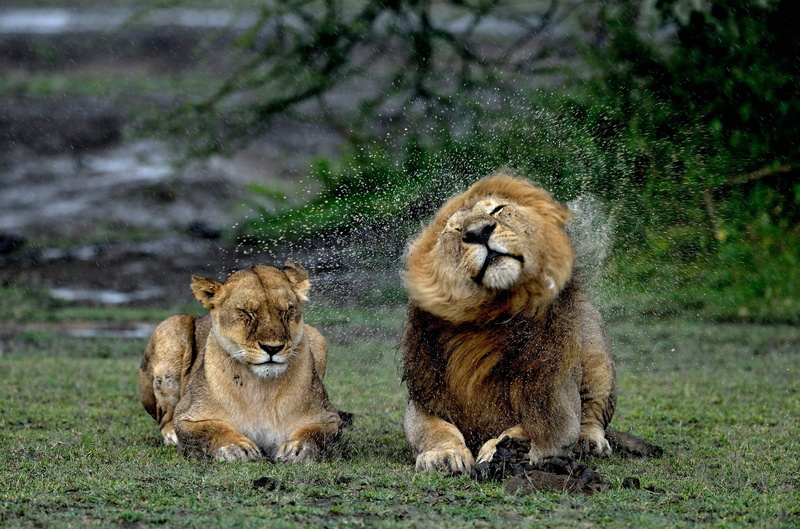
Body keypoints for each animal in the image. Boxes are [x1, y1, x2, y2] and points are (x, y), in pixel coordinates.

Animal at [138, 260, 342, 463]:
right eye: (247, 312)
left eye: (287, 311)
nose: (272, 348)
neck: (262, 390)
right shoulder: (186, 416)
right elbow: (212, 428)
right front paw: (236, 447)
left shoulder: (329, 417)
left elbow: (316, 433)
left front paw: (297, 448)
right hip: (170, 328)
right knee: (165, 418)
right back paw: (172, 436)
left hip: (317, 336)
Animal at [401, 173, 659, 473]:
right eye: (454, 230)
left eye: (497, 210)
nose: (479, 232)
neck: (493, 321)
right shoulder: (425, 399)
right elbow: (435, 430)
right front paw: (443, 455)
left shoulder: (556, 405)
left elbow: (524, 431)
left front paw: (498, 454)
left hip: (599, 363)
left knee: (592, 416)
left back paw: (590, 442)